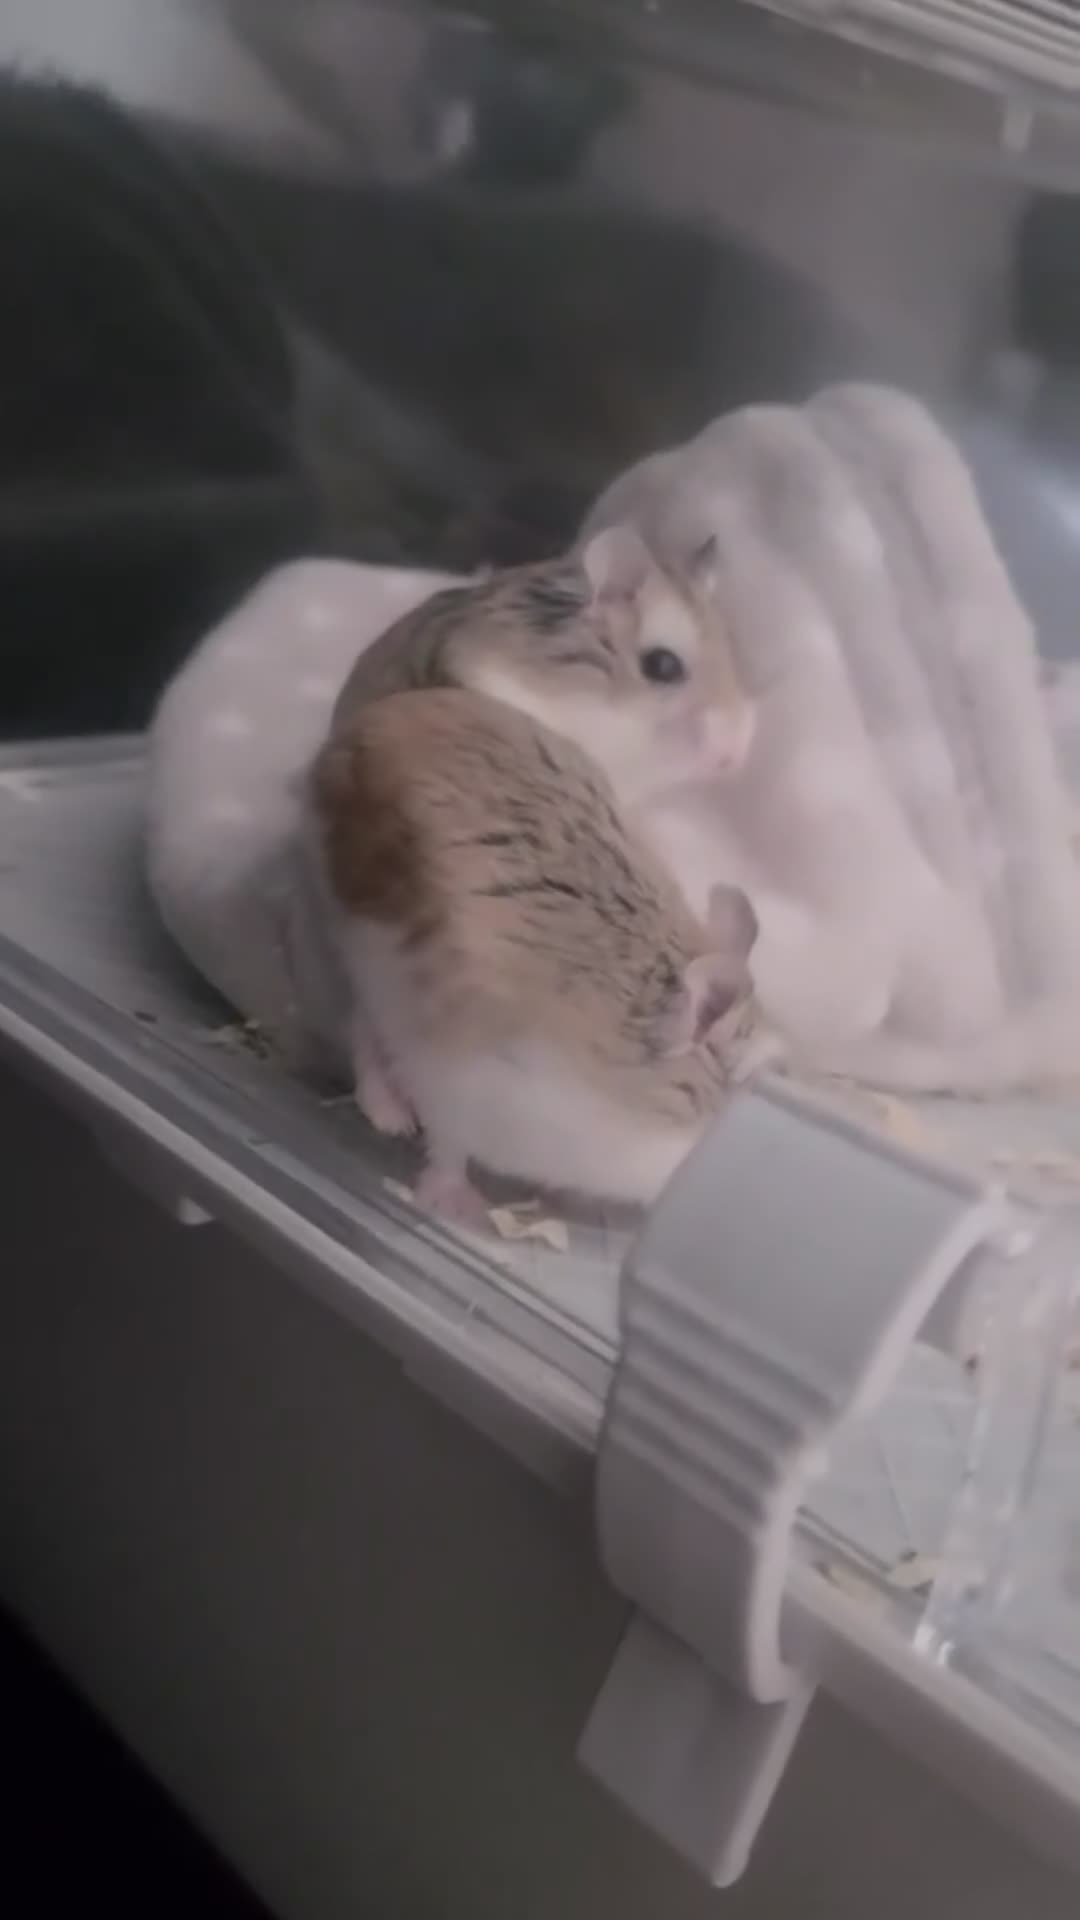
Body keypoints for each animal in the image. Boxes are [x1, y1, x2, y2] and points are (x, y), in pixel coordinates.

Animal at [309, 687, 769, 1222]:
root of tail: (353, 731)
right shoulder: (461, 1079)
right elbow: (449, 1148)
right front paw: (461, 1208)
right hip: (372, 958)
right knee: (362, 1026)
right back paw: (391, 1117)